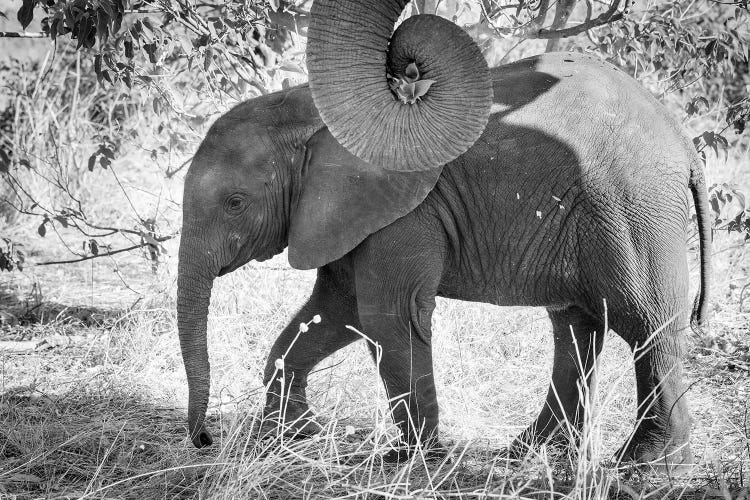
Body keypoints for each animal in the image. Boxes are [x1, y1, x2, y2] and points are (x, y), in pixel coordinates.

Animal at [175, 1, 712, 472]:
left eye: (235, 203)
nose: (203, 439)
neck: (312, 114)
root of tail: (682, 139)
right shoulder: (348, 215)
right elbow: (333, 310)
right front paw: (296, 434)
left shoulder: (403, 215)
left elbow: (385, 316)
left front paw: (413, 459)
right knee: (577, 327)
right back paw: (530, 452)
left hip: (630, 205)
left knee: (646, 325)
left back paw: (650, 467)